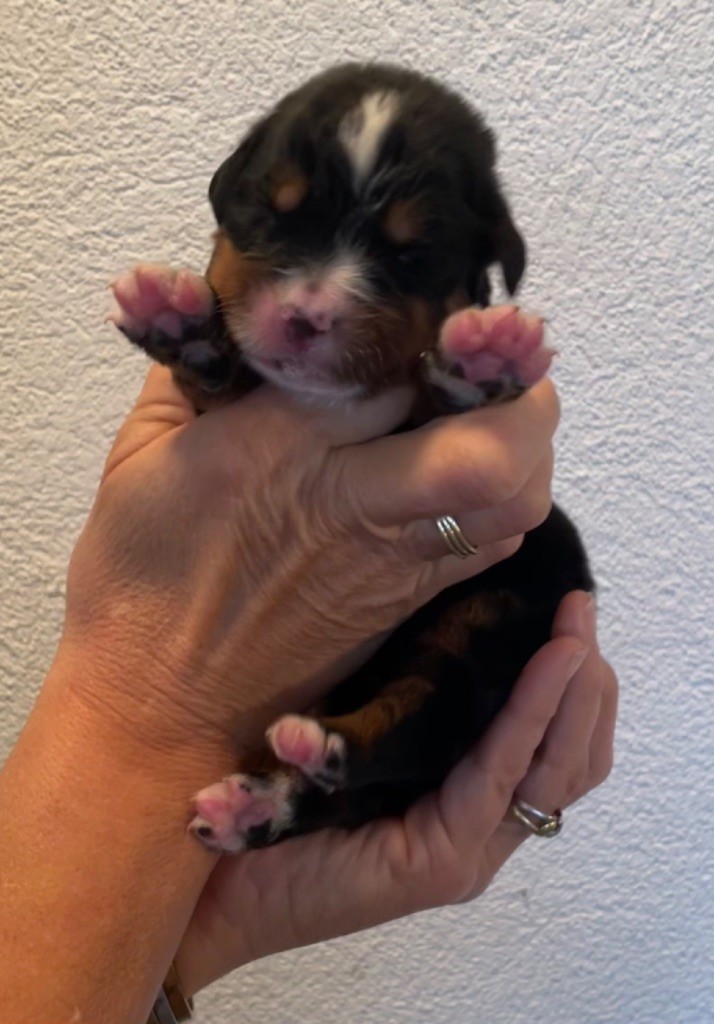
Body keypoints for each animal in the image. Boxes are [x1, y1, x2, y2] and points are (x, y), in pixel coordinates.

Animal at [110, 62, 593, 853]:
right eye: (269, 214)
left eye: (408, 254)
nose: (307, 317)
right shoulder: (230, 406)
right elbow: (217, 373)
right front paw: (175, 317)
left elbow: (443, 399)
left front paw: (482, 362)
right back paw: (256, 809)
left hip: (484, 628)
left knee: (407, 725)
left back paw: (321, 748)